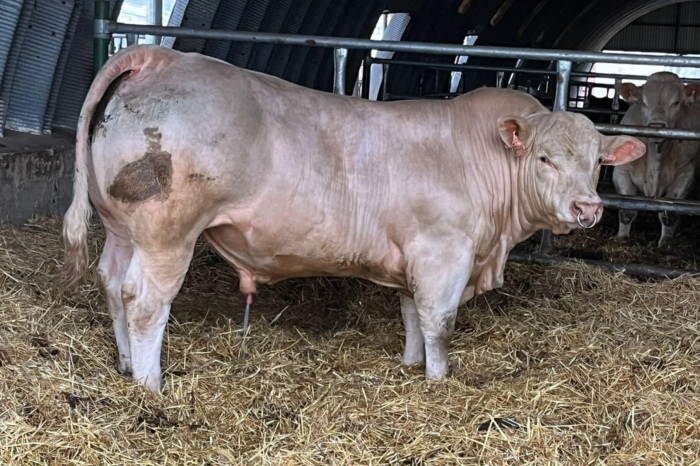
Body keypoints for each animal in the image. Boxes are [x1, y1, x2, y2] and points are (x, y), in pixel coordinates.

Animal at [60, 45, 645, 392]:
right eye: (544, 158)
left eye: (598, 162)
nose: (588, 207)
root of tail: (163, 56)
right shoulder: (443, 252)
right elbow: (439, 323)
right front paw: (437, 381)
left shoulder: (416, 257)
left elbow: (412, 315)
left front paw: (410, 365)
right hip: (167, 235)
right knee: (144, 301)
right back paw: (150, 386)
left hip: (122, 228)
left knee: (112, 283)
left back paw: (125, 365)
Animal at [613, 72, 700, 249]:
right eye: (644, 103)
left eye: (676, 102)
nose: (656, 125)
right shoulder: (621, 171)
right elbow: (626, 210)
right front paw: (622, 238)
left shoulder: (685, 174)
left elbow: (669, 215)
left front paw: (665, 243)